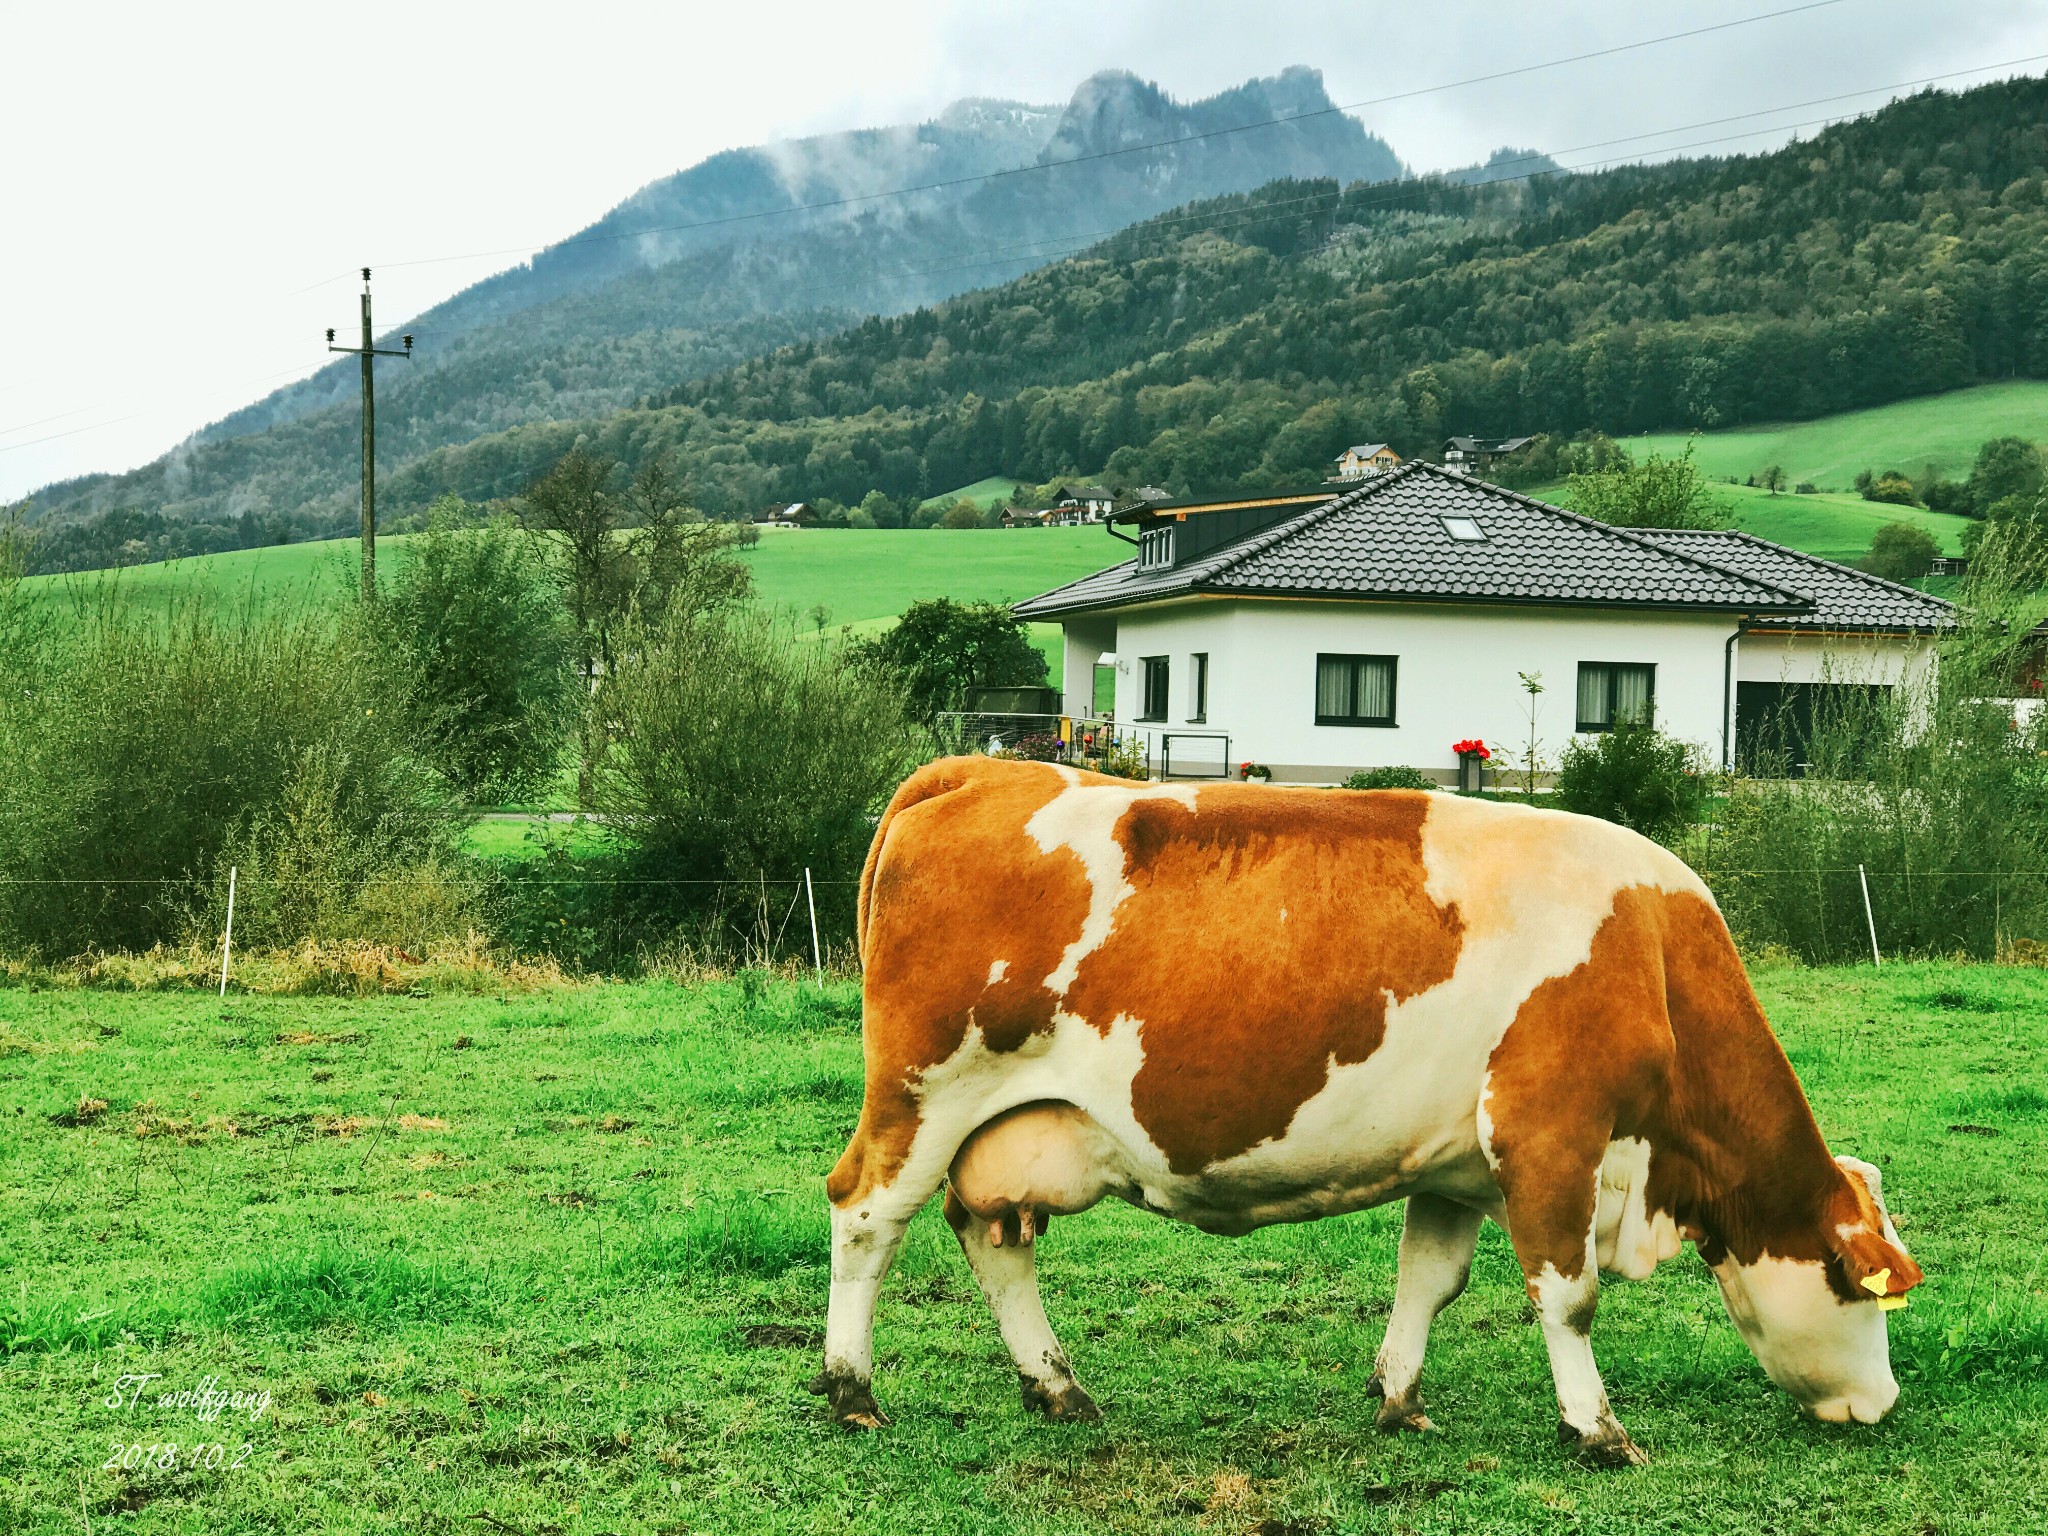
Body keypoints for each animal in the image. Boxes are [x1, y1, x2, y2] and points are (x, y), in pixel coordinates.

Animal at [811, 757, 1916, 1466]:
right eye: (1857, 1287)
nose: (1883, 1403)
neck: (1647, 949)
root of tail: (976, 769)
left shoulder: (1455, 1165)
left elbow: (1429, 1283)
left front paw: (1399, 1400)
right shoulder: (1549, 1136)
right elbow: (1566, 1296)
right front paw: (1597, 1431)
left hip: (998, 1126)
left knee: (989, 1235)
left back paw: (1056, 1387)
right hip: (921, 1096)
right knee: (865, 1218)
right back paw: (852, 1392)